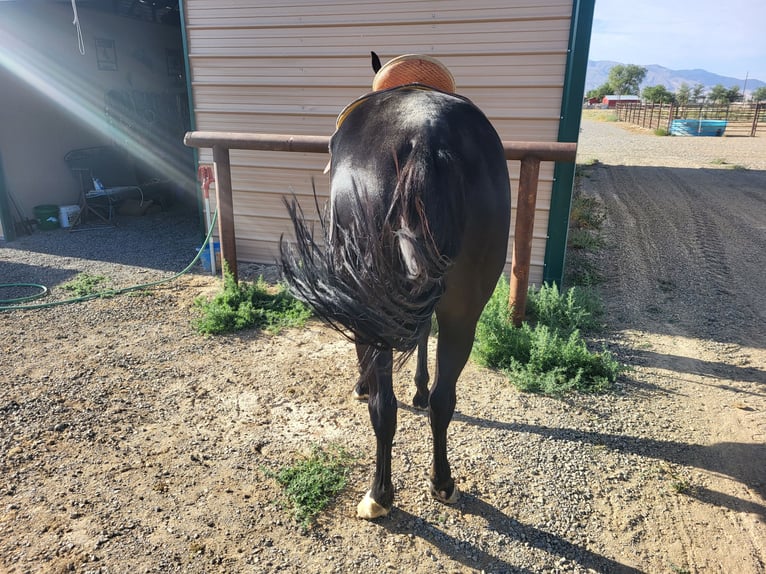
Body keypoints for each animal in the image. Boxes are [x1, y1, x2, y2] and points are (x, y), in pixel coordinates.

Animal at [280, 55, 510, 519]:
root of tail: (426, 138)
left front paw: (365, 384)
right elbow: (422, 339)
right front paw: (419, 389)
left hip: (372, 306)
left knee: (383, 409)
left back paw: (378, 495)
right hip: (462, 311)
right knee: (444, 399)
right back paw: (442, 482)